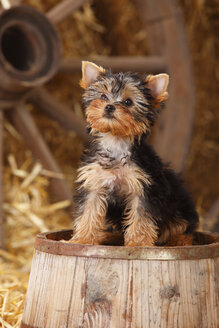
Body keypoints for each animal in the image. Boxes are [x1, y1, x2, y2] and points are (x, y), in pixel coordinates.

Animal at [70, 61, 198, 246]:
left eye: (128, 102)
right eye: (103, 96)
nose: (109, 106)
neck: (115, 141)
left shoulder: (144, 187)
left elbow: (141, 217)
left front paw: (138, 244)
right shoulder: (94, 183)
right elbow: (89, 211)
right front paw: (82, 240)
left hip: (180, 206)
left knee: (182, 227)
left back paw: (179, 241)